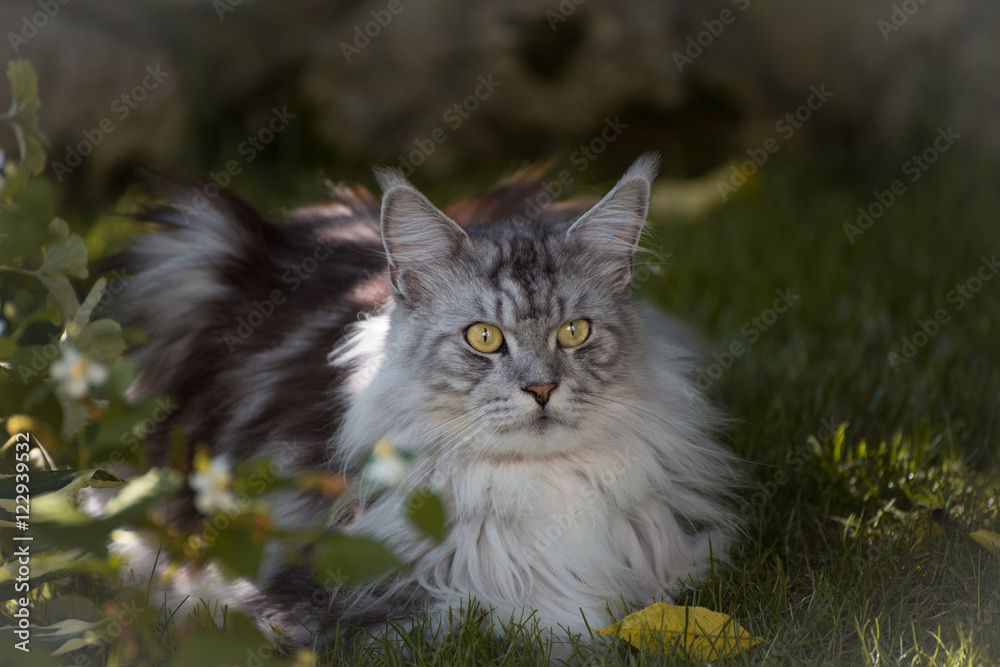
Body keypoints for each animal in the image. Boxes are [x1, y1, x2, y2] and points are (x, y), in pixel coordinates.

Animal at [113, 154, 748, 656]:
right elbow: (488, 620)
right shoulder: (303, 597)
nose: (542, 389)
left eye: (575, 332)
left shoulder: (684, 562)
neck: (534, 486)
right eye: (484, 337)